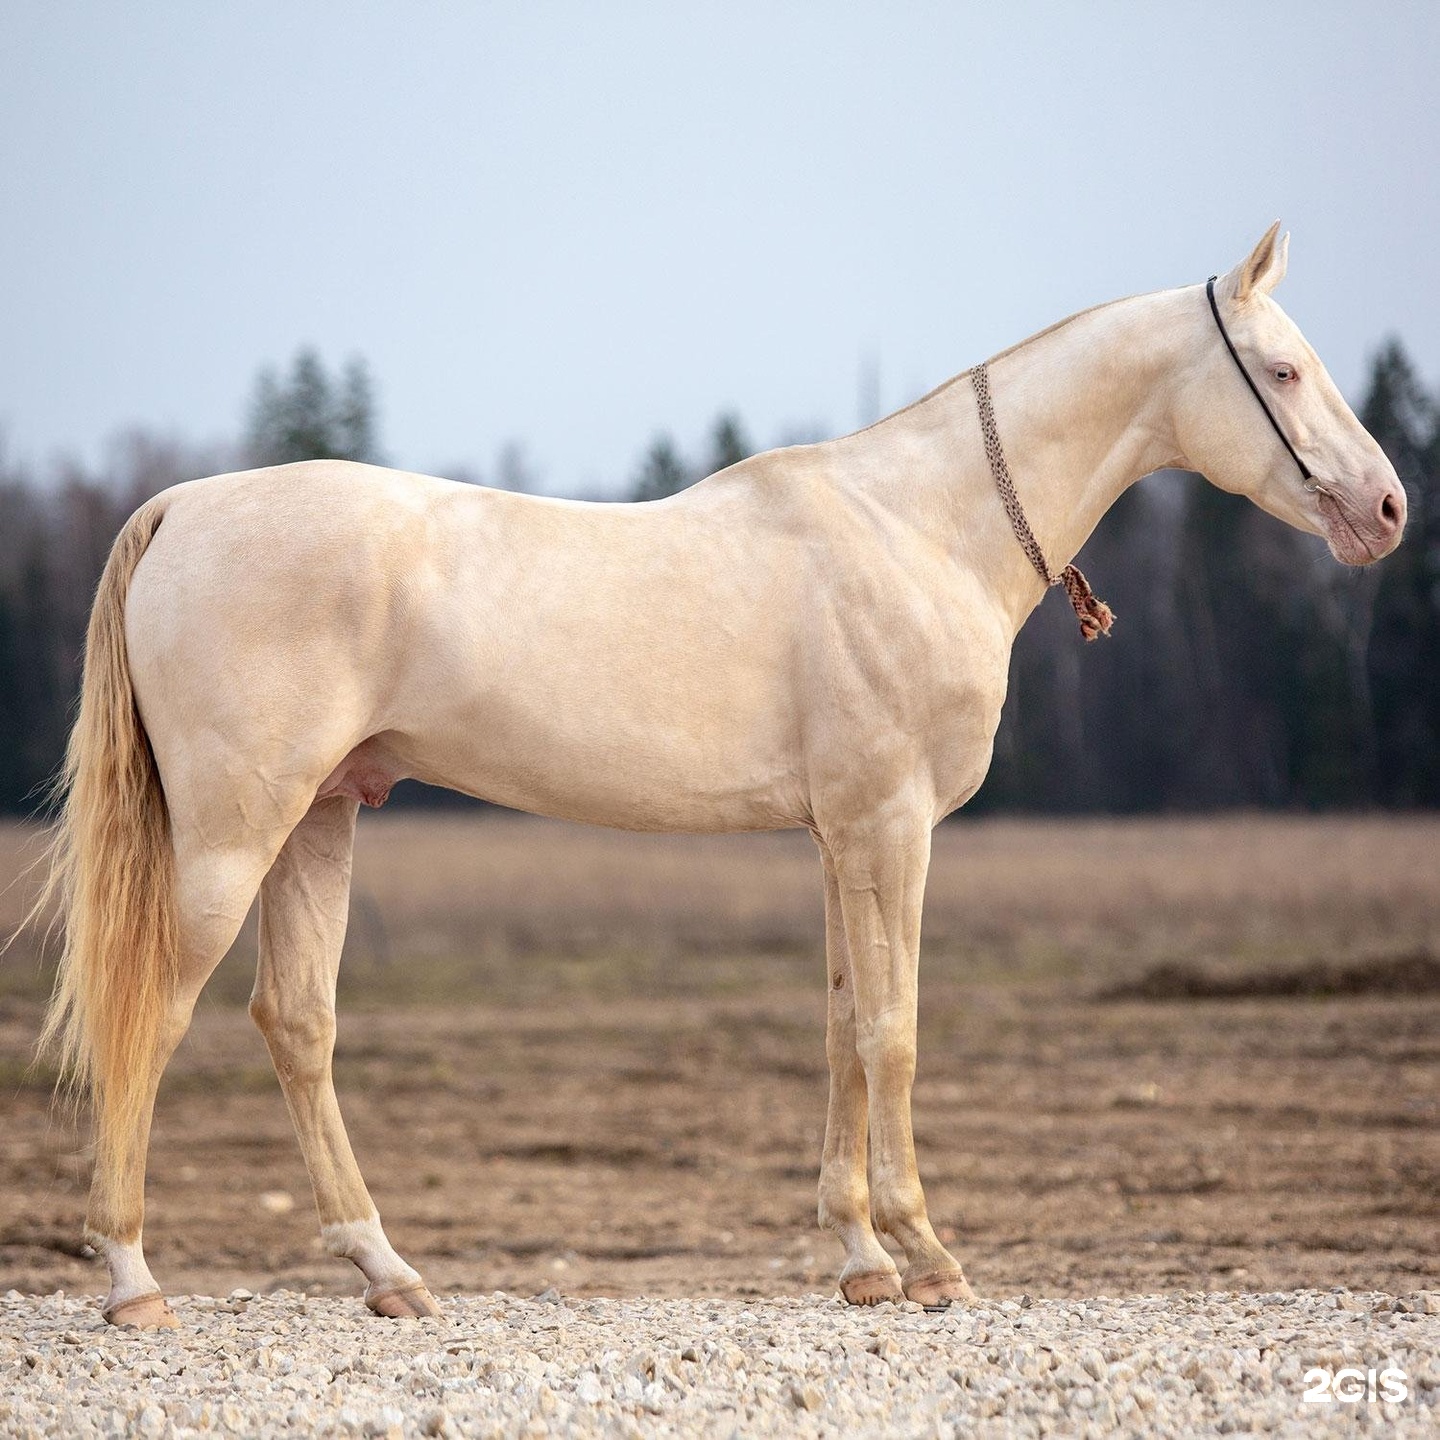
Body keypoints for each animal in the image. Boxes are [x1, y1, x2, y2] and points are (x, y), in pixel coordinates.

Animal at [33, 224, 1405, 1324]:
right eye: (1284, 369)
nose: (1387, 510)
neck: (923, 527)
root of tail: (184, 506)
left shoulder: (841, 836)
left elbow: (846, 1026)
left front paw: (860, 1259)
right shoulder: (893, 827)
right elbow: (895, 1031)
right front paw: (928, 1255)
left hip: (321, 820)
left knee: (297, 1024)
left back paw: (392, 1277)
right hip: (236, 834)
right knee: (153, 1011)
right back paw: (134, 1281)